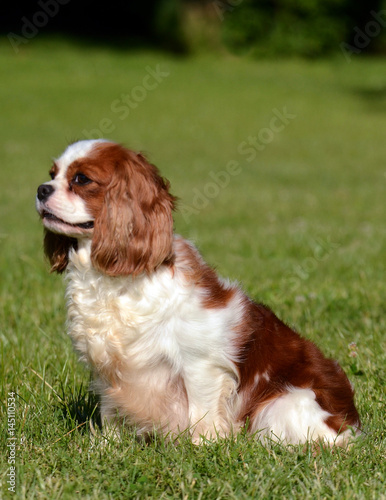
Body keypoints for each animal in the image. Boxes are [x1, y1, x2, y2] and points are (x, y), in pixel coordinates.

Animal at [34, 138, 360, 446]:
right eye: (52, 174)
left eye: (81, 179)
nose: (40, 189)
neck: (116, 278)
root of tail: (351, 425)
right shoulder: (108, 368)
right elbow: (109, 410)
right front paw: (106, 446)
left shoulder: (200, 363)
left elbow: (201, 412)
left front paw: (203, 446)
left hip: (282, 405)